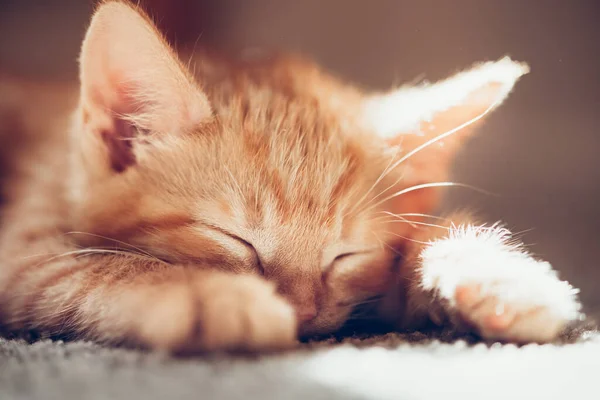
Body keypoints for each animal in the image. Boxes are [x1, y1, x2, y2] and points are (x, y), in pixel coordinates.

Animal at [0, 0, 580, 350]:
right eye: (235, 240)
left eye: (347, 255)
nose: (300, 312)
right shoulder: (22, 249)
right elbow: (90, 266)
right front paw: (208, 294)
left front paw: (493, 274)